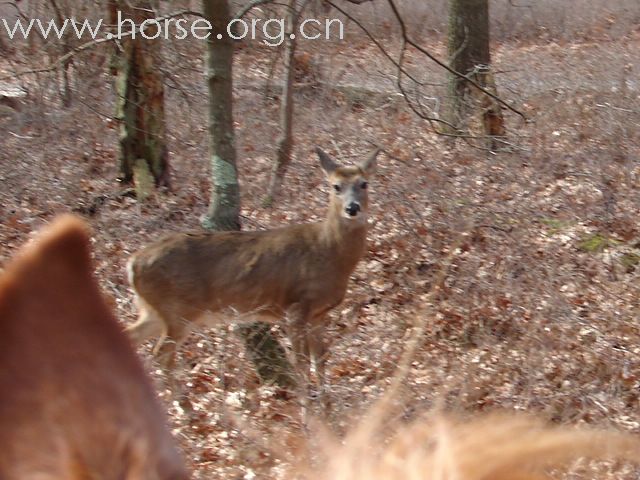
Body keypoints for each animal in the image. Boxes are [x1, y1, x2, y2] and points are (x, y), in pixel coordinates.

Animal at [125, 147, 380, 402]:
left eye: (364, 183)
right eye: (336, 186)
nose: (352, 208)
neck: (328, 250)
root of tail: (132, 263)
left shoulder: (319, 314)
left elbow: (321, 359)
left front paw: (327, 404)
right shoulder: (295, 307)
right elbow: (301, 362)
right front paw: (307, 406)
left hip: (155, 311)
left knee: (132, 338)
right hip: (178, 310)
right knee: (161, 354)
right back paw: (181, 404)